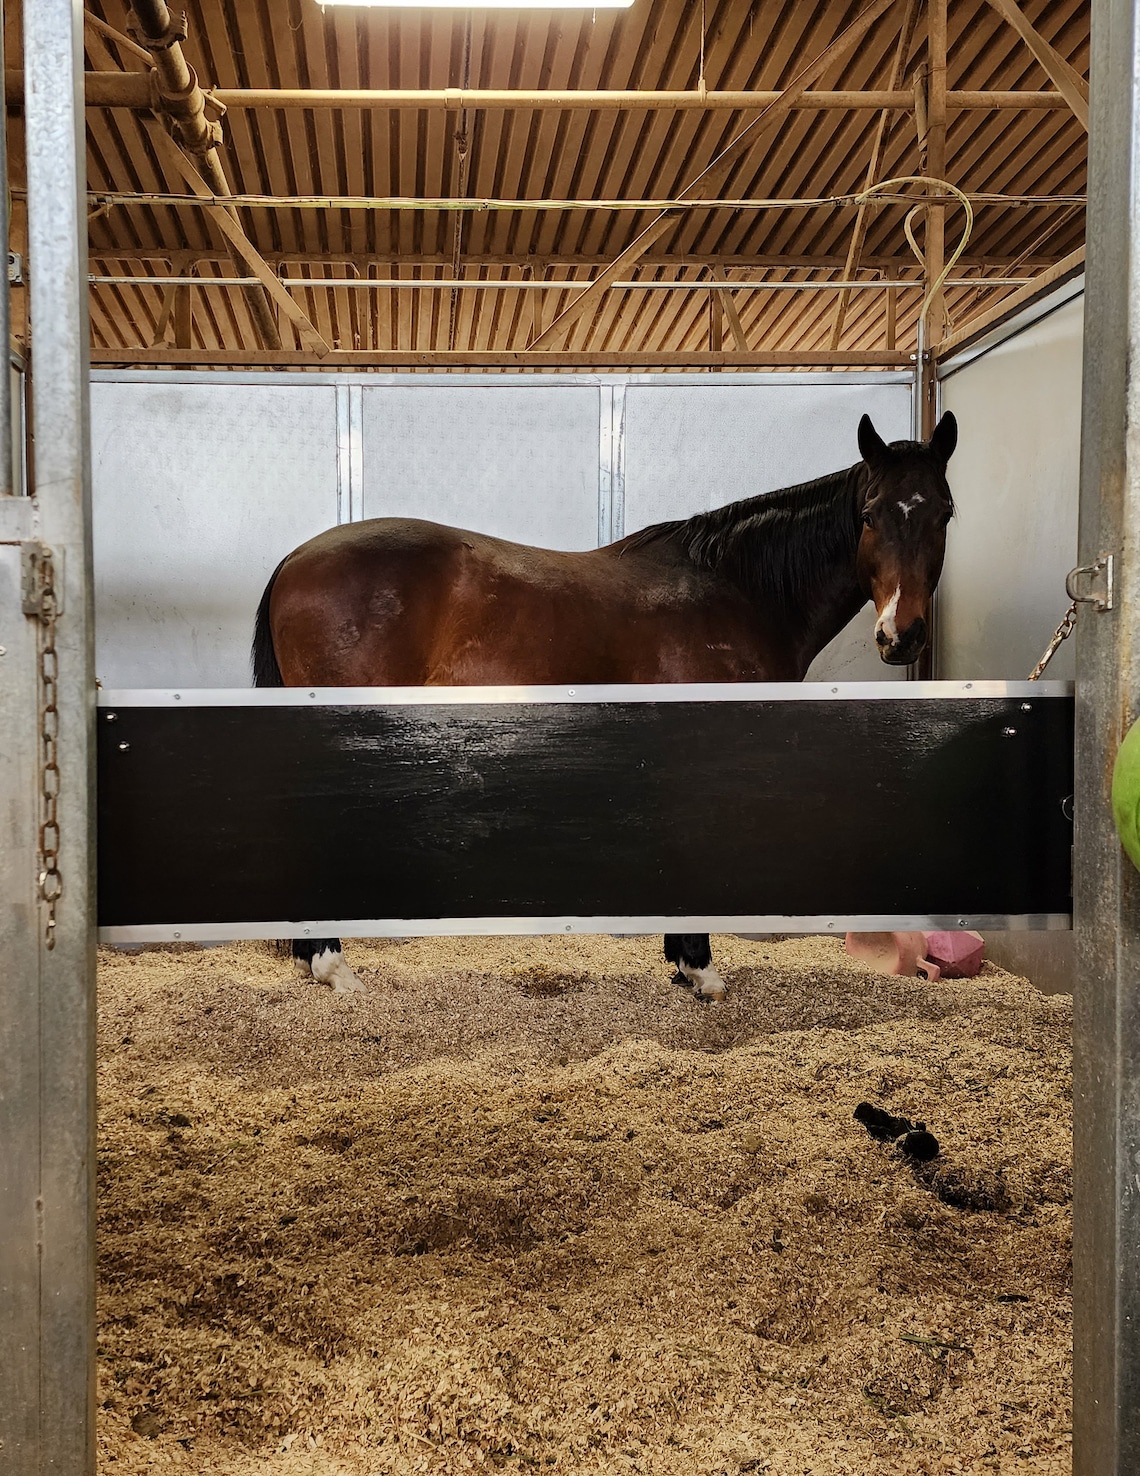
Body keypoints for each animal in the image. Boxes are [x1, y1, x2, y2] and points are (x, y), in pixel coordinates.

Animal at [251, 410, 958, 997]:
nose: (901, 635)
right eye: (869, 513)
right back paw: (334, 967)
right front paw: (700, 970)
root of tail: (295, 559)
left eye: (944, 512)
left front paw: (681, 962)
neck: (738, 589)